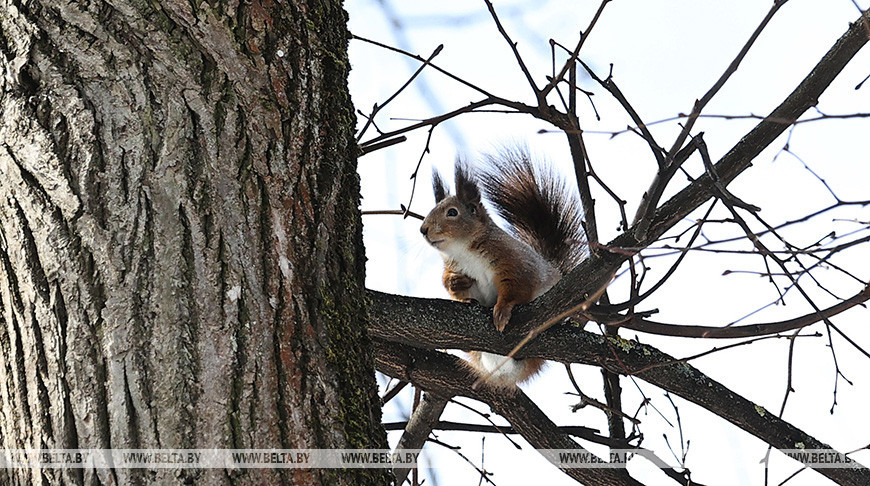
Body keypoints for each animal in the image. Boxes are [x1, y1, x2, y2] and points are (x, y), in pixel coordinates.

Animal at [420, 148, 584, 388]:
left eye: (452, 212)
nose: (423, 229)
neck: (464, 250)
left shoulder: (513, 262)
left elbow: (516, 287)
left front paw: (502, 310)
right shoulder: (453, 265)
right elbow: (451, 283)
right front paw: (457, 282)